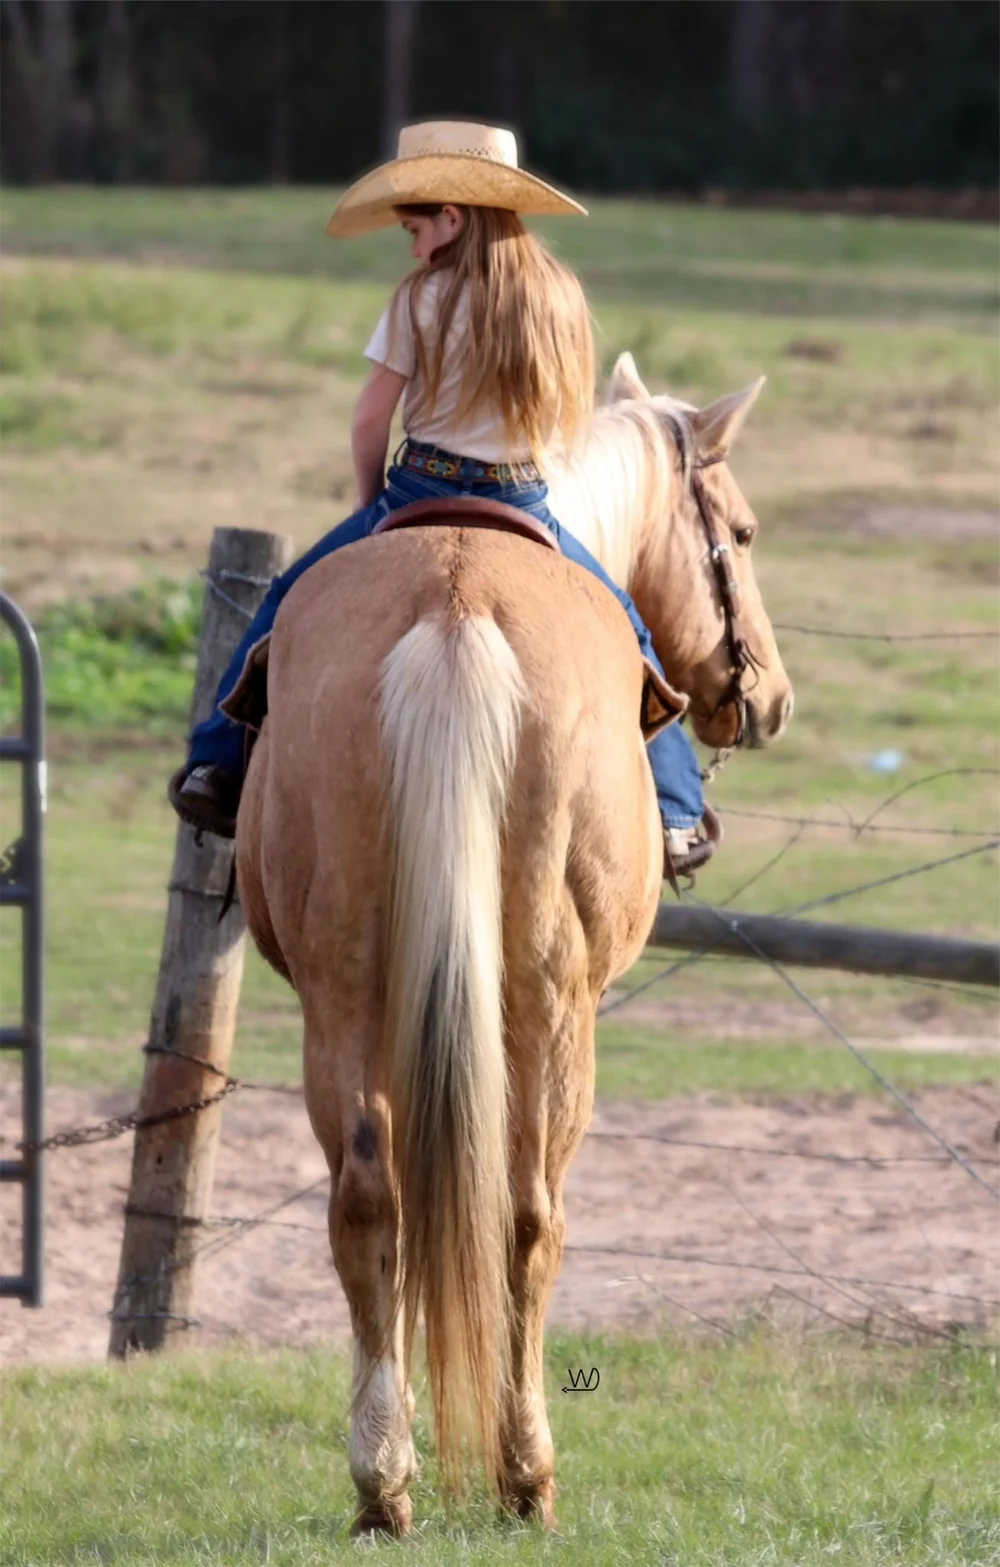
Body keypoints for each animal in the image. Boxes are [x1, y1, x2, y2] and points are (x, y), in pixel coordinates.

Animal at [234, 353, 792, 1534]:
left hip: (346, 989)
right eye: (743, 531)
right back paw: (525, 1471)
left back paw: (382, 1479)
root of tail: (457, 607)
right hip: (553, 1000)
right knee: (531, 1213)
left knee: (373, 1197)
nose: (767, 694)